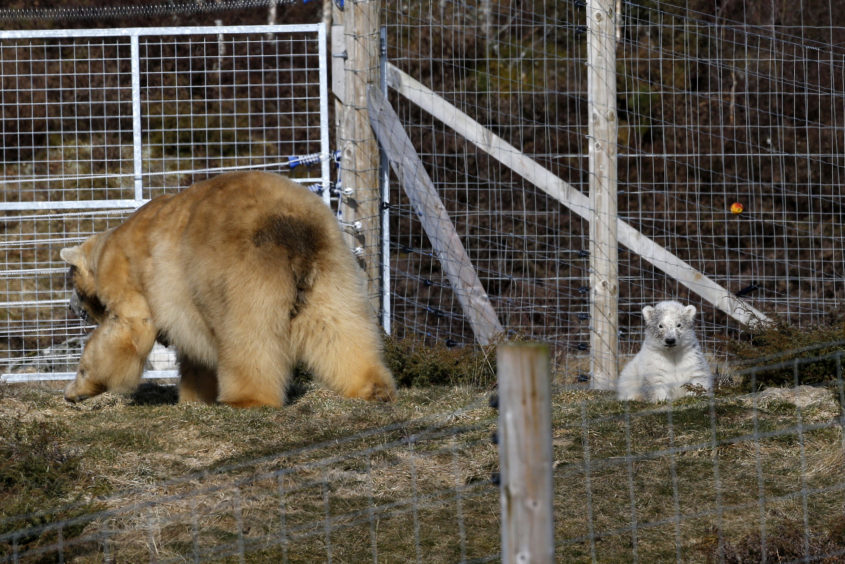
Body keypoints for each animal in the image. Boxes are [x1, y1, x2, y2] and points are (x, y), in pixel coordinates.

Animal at [59, 170, 396, 408]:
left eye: (71, 282)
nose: (72, 306)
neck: (106, 248)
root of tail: (289, 224)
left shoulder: (128, 276)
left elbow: (127, 329)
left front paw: (76, 388)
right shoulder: (183, 302)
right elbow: (194, 354)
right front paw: (194, 398)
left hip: (242, 266)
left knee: (249, 334)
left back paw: (247, 398)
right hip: (330, 260)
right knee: (340, 323)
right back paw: (372, 386)